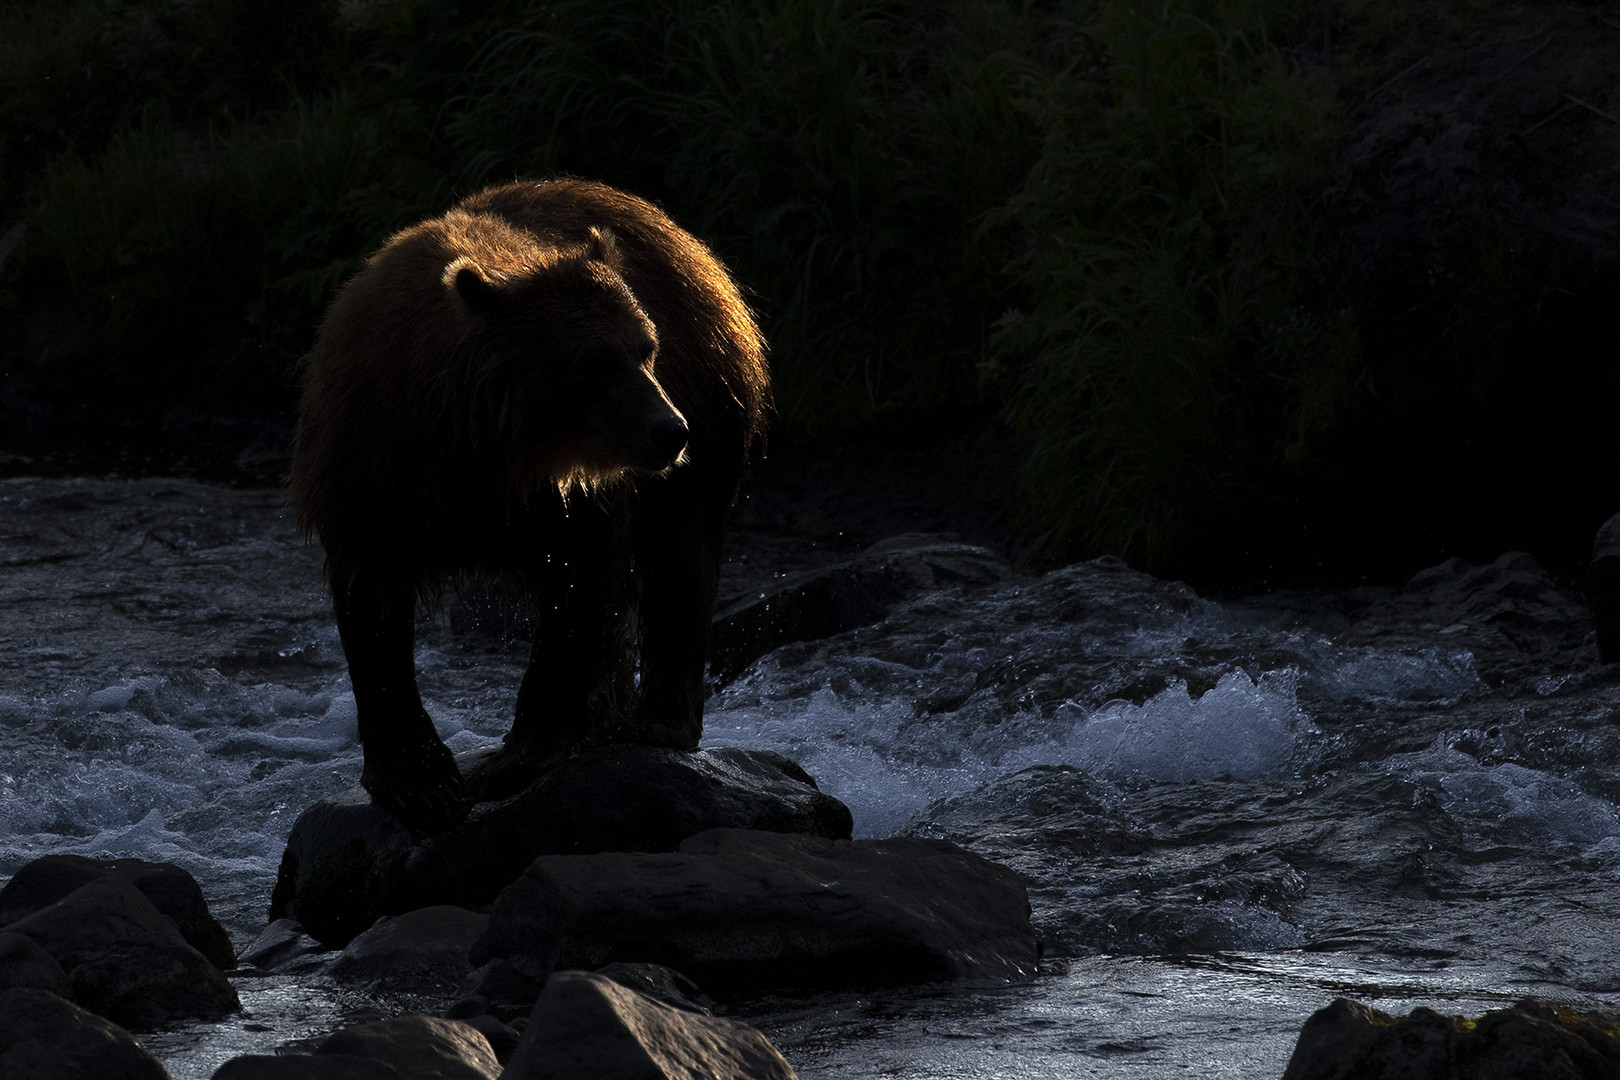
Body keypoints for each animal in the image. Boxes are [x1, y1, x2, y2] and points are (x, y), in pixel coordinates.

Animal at [288, 179, 767, 829]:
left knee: (681, 550)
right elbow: (374, 607)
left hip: (712, 392)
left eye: (645, 348)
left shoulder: (576, 502)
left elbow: (579, 590)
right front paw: (421, 780)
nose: (670, 431)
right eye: (597, 363)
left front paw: (512, 756)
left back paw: (655, 720)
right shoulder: (376, 467)